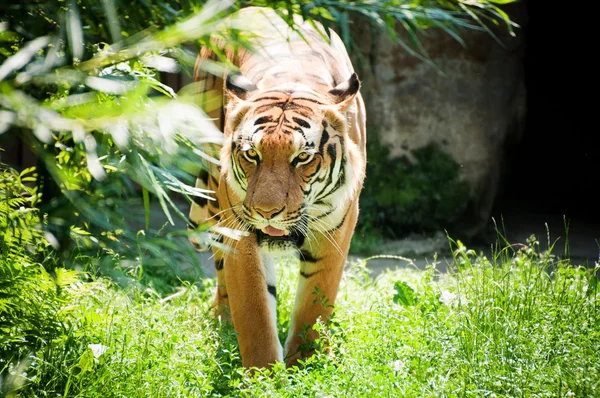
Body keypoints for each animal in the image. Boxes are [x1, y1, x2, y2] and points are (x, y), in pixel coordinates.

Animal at [188, 6, 366, 372]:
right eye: (252, 154)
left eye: (302, 158)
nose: (266, 212)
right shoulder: (241, 232)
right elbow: (254, 311)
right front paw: (263, 374)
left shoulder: (338, 226)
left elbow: (316, 301)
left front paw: (308, 363)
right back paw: (223, 321)